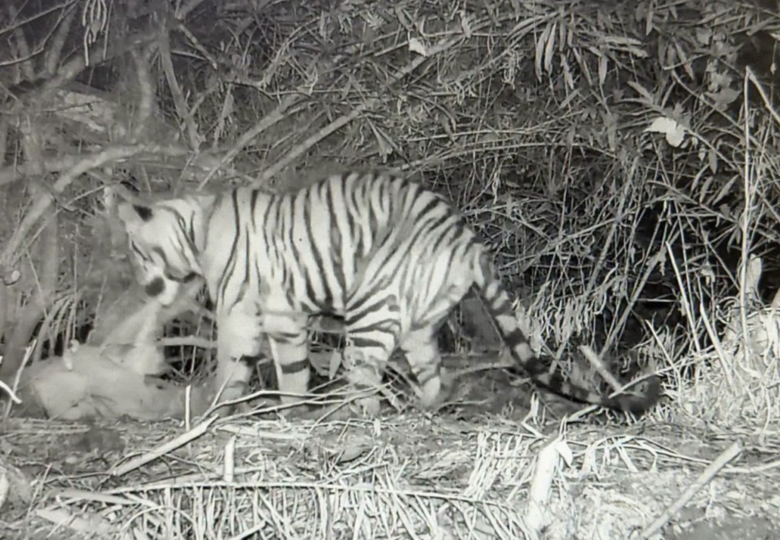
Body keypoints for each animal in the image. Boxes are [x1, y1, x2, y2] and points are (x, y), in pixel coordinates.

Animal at [116, 170, 661, 416]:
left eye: (137, 251)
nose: (145, 285)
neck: (199, 230)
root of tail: (467, 239)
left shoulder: (247, 314)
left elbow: (244, 369)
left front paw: (220, 412)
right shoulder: (277, 317)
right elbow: (282, 371)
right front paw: (279, 412)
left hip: (371, 308)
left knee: (365, 384)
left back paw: (350, 419)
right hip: (418, 323)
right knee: (436, 377)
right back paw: (422, 410)